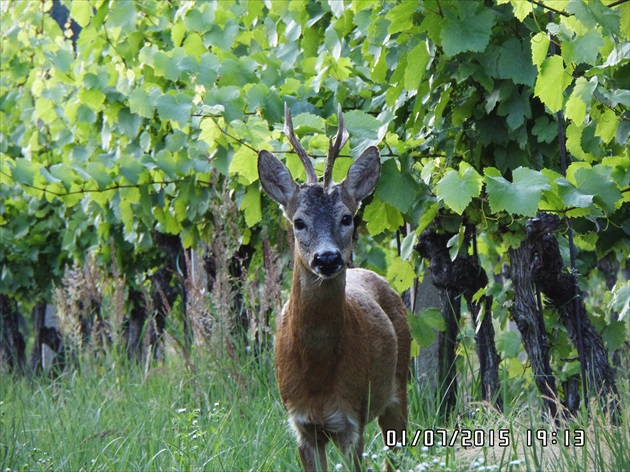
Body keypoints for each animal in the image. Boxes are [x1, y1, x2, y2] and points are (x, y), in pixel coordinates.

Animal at [260, 105, 412, 470]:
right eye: (299, 222)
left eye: (347, 218)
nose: (327, 258)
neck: (317, 376)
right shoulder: (301, 426)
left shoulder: (351, 419)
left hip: (398, 385)